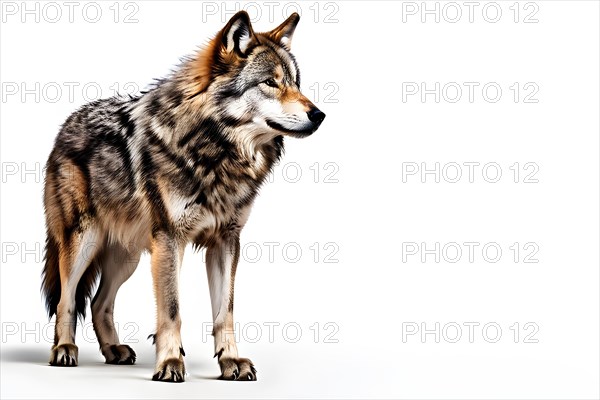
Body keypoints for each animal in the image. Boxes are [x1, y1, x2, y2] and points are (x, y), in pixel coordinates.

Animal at [41, 10, 324, 382]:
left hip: (128, 257)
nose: (318, 114)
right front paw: (170, 362)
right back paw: (64, 350)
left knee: (100, 302)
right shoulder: (170, 239)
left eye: (296, 83)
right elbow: (172, 309)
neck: (216, 154)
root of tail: (66, 124)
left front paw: (230, 361)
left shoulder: (226, 241)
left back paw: (114, 350)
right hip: (84, 243)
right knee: (68, 299)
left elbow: (225, 311)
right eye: (270, 83)